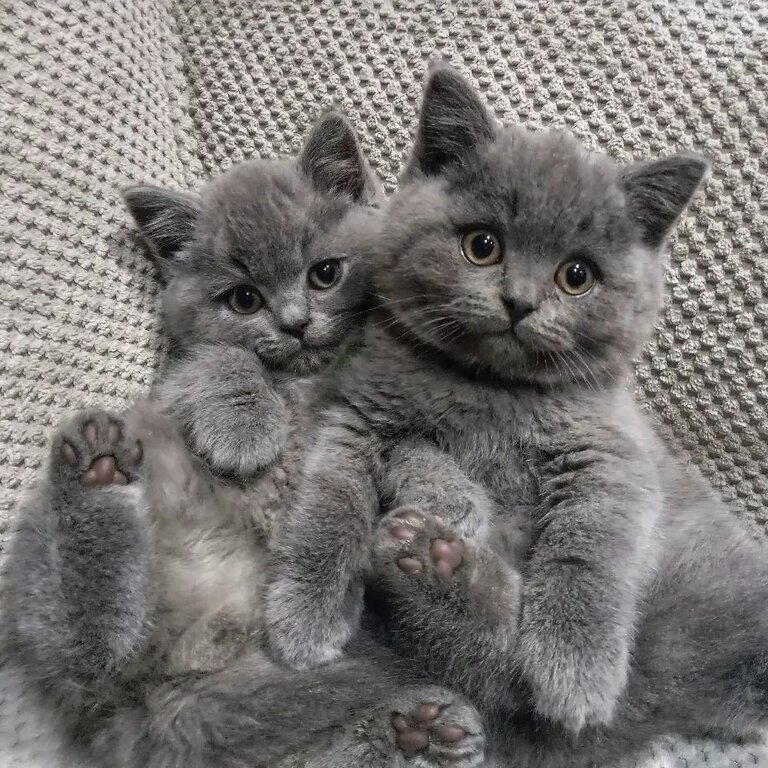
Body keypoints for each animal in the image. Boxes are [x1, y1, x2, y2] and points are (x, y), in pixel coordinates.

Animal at [3, 114, 486, 768]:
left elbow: (407, 444)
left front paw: (449, 496)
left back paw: (415, 731)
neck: (309, 380)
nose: (295, 323)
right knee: (84, 650)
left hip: (262, 693)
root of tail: (156, 689)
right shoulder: (176, 381)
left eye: (325, 273)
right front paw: (244, 432)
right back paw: (96, 473)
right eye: (244, 299)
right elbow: (221, 358)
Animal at [266, 67, 768, 768]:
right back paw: (430, 579)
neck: (489, 388)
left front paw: (576, 672)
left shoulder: (610, 452)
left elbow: (590, 548)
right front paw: (305, 617)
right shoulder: (355, 416)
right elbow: (334, 503)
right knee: (491, 667)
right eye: (482, 245)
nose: (520, 302)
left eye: (577, 275)